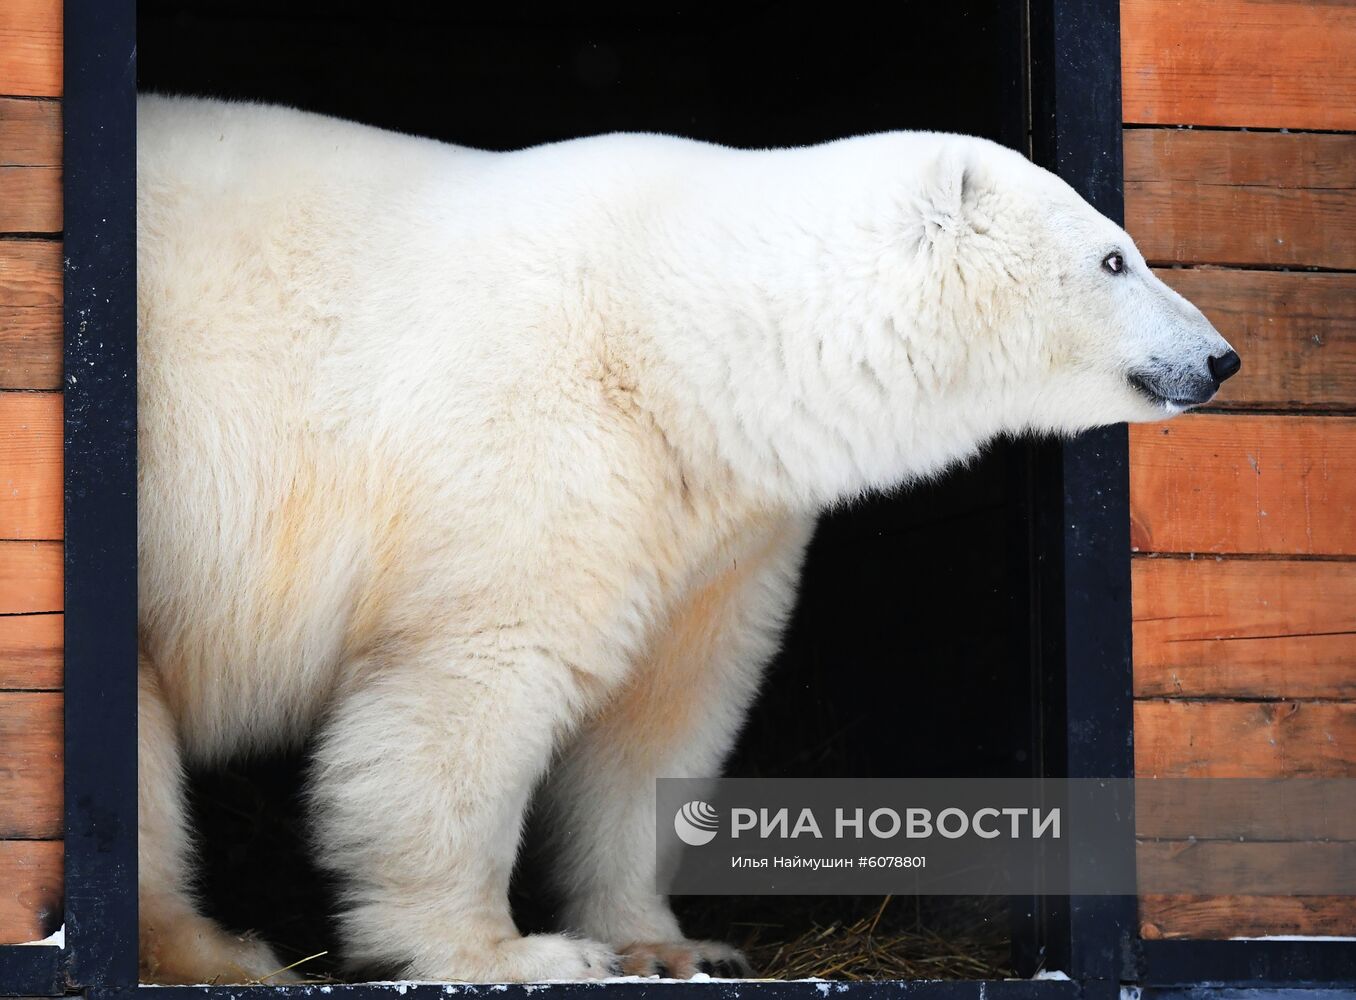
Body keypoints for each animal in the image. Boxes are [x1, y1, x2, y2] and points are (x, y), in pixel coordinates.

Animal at [137, 95, 1242, 982]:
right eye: (1114, 257)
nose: (1220, 357)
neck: (671, 335)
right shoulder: (527, 448)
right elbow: (466, 693)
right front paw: (508, 951)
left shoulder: (718, 524)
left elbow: (662, 717)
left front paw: (669, 942)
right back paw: (220, 951)